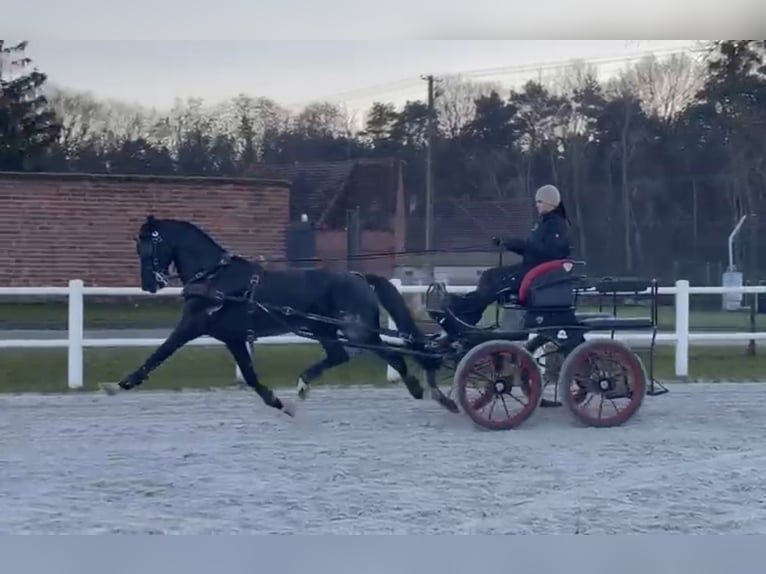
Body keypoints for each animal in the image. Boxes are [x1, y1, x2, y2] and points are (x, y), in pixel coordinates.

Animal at [112, 215, 459, 417]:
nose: (149, 284)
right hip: (324, 329)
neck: (215, 278)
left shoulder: (193, 324)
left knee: (392, 354)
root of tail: (358, 276)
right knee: (341, 356)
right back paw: (305, 384)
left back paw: (424, 390)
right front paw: (279, 403)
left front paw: (123, 383)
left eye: (149, 245)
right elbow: (250, 375)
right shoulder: (233, 337)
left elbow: (162, 351)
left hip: (356, 329)